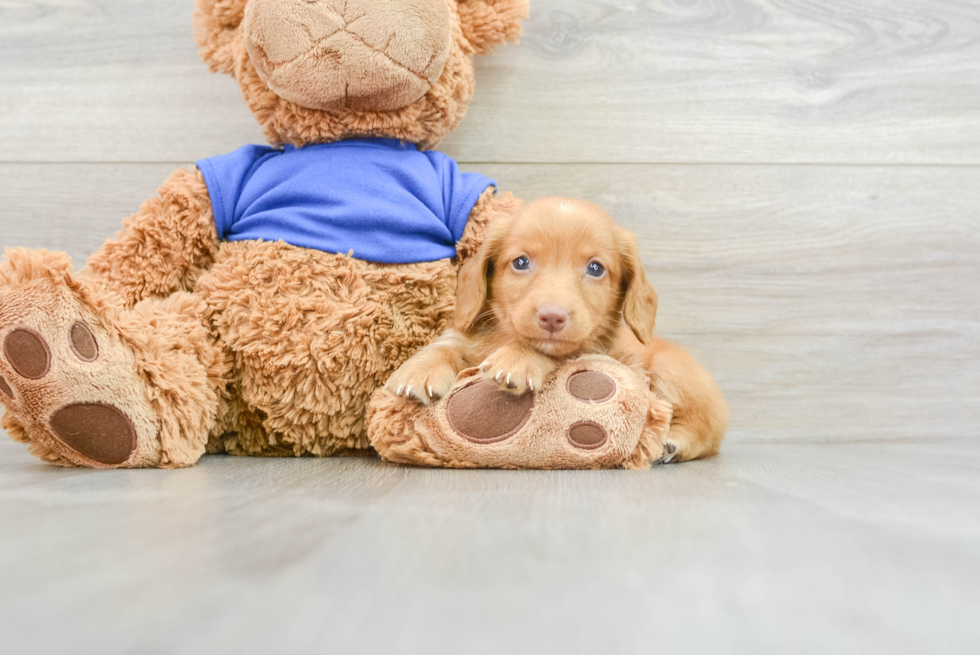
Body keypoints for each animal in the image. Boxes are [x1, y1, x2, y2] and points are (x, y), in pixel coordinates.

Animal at [382, 197, 728, 464]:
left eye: (595, 268)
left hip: (669, 370)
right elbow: (448, 345)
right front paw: (420, 370)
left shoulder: (590, 350)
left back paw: (673, 441)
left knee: (710, 428)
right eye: (521, 262)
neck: (505, 337)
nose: (552, 317)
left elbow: (552, 353)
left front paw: (517, 359)